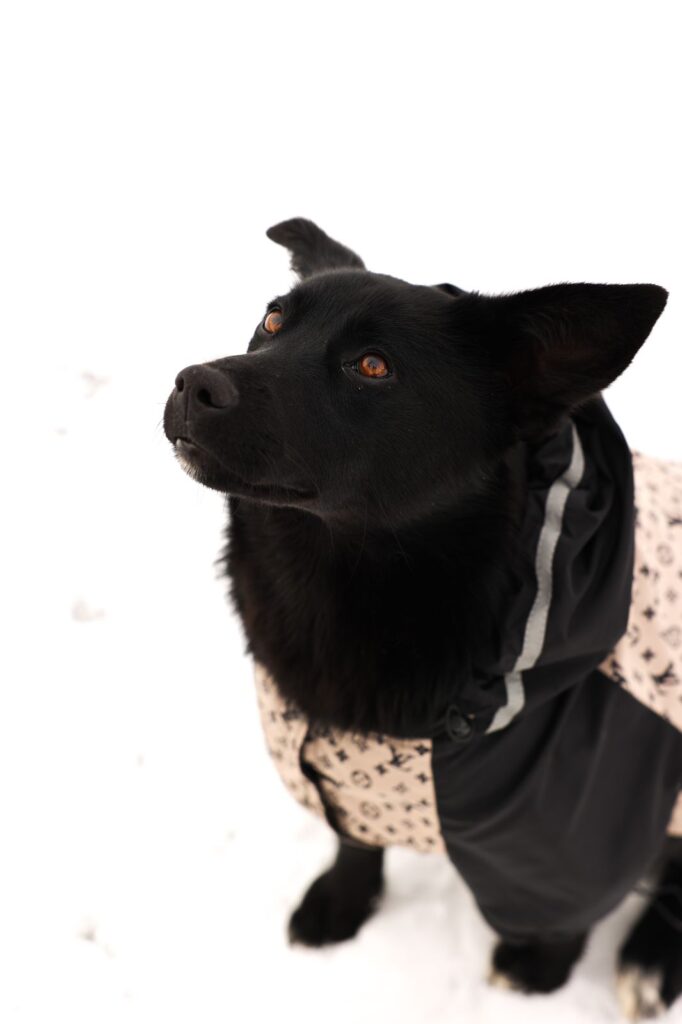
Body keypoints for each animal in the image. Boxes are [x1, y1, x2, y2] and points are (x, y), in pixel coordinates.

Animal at [164, 219, 682, 1020]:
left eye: (373, 366)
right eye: (272, 321)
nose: (193, 383)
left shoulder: (589, 821)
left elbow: (567, 909)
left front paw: (539, 972)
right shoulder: (345, 764)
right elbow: (353, 837)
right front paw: (342, 903)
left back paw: (652, 960)